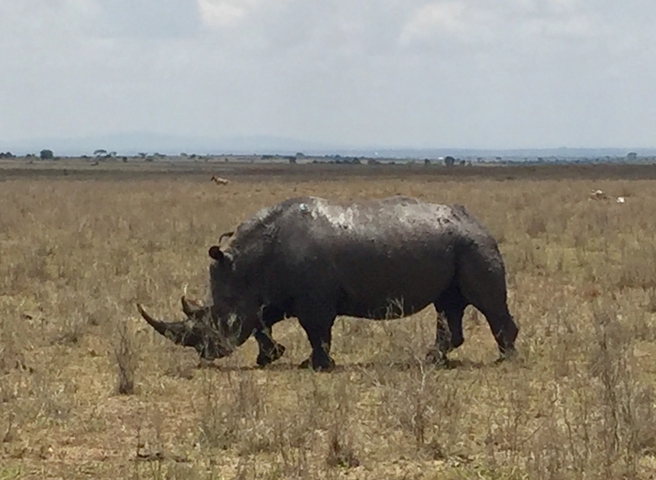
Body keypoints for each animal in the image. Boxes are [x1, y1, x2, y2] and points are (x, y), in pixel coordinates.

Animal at [137, 196, 519, 371]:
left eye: (218, 320)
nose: (206, 353)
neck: (247, 266)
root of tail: (479, 221)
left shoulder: (313, 301)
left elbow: (316, 332)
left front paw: (315, 366)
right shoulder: (269, 297)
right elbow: (261, 325)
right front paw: (269, 357)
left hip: (474, 245)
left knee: (485, 302)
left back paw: (506, 359)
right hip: (458, 245)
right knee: (448, 303)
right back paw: (433, 359)